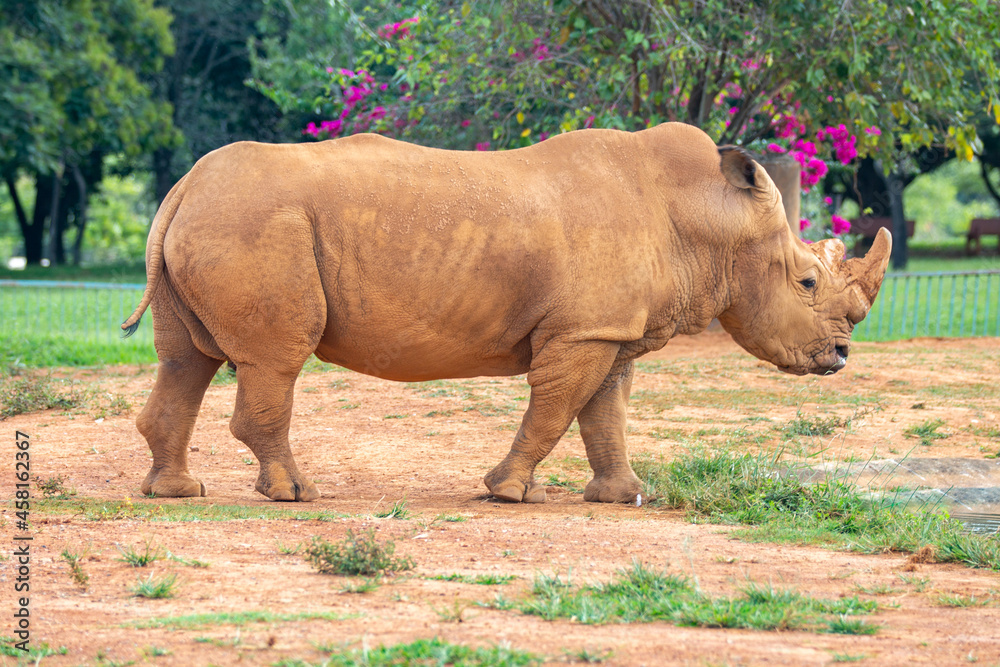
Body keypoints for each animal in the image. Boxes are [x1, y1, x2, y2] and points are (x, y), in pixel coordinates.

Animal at [123, 122, 891, 504]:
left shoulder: (607, 330)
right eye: (807, 282)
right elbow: (555, 411)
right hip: (256, 223)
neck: (707, 215)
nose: (840, 357)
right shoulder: (581, 332)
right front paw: (508, 492)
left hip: (221, 220)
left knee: (187, 358)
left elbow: (605, 413)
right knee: (274, 360)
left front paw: (623, 496)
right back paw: (295, 494)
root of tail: (183, 187)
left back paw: (175, 492)